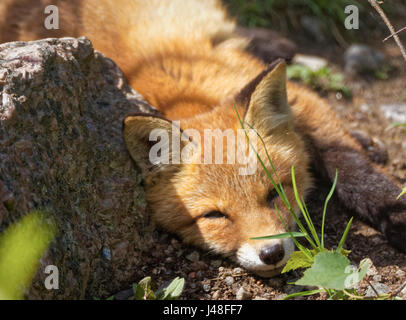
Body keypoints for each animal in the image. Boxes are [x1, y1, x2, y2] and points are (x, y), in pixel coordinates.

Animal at [1, 0, 404, 276]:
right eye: (215, 216)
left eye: (275, 192)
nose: (271, 254)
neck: (191, 93)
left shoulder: (304, 100)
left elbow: (348, 165)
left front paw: (394, 209)